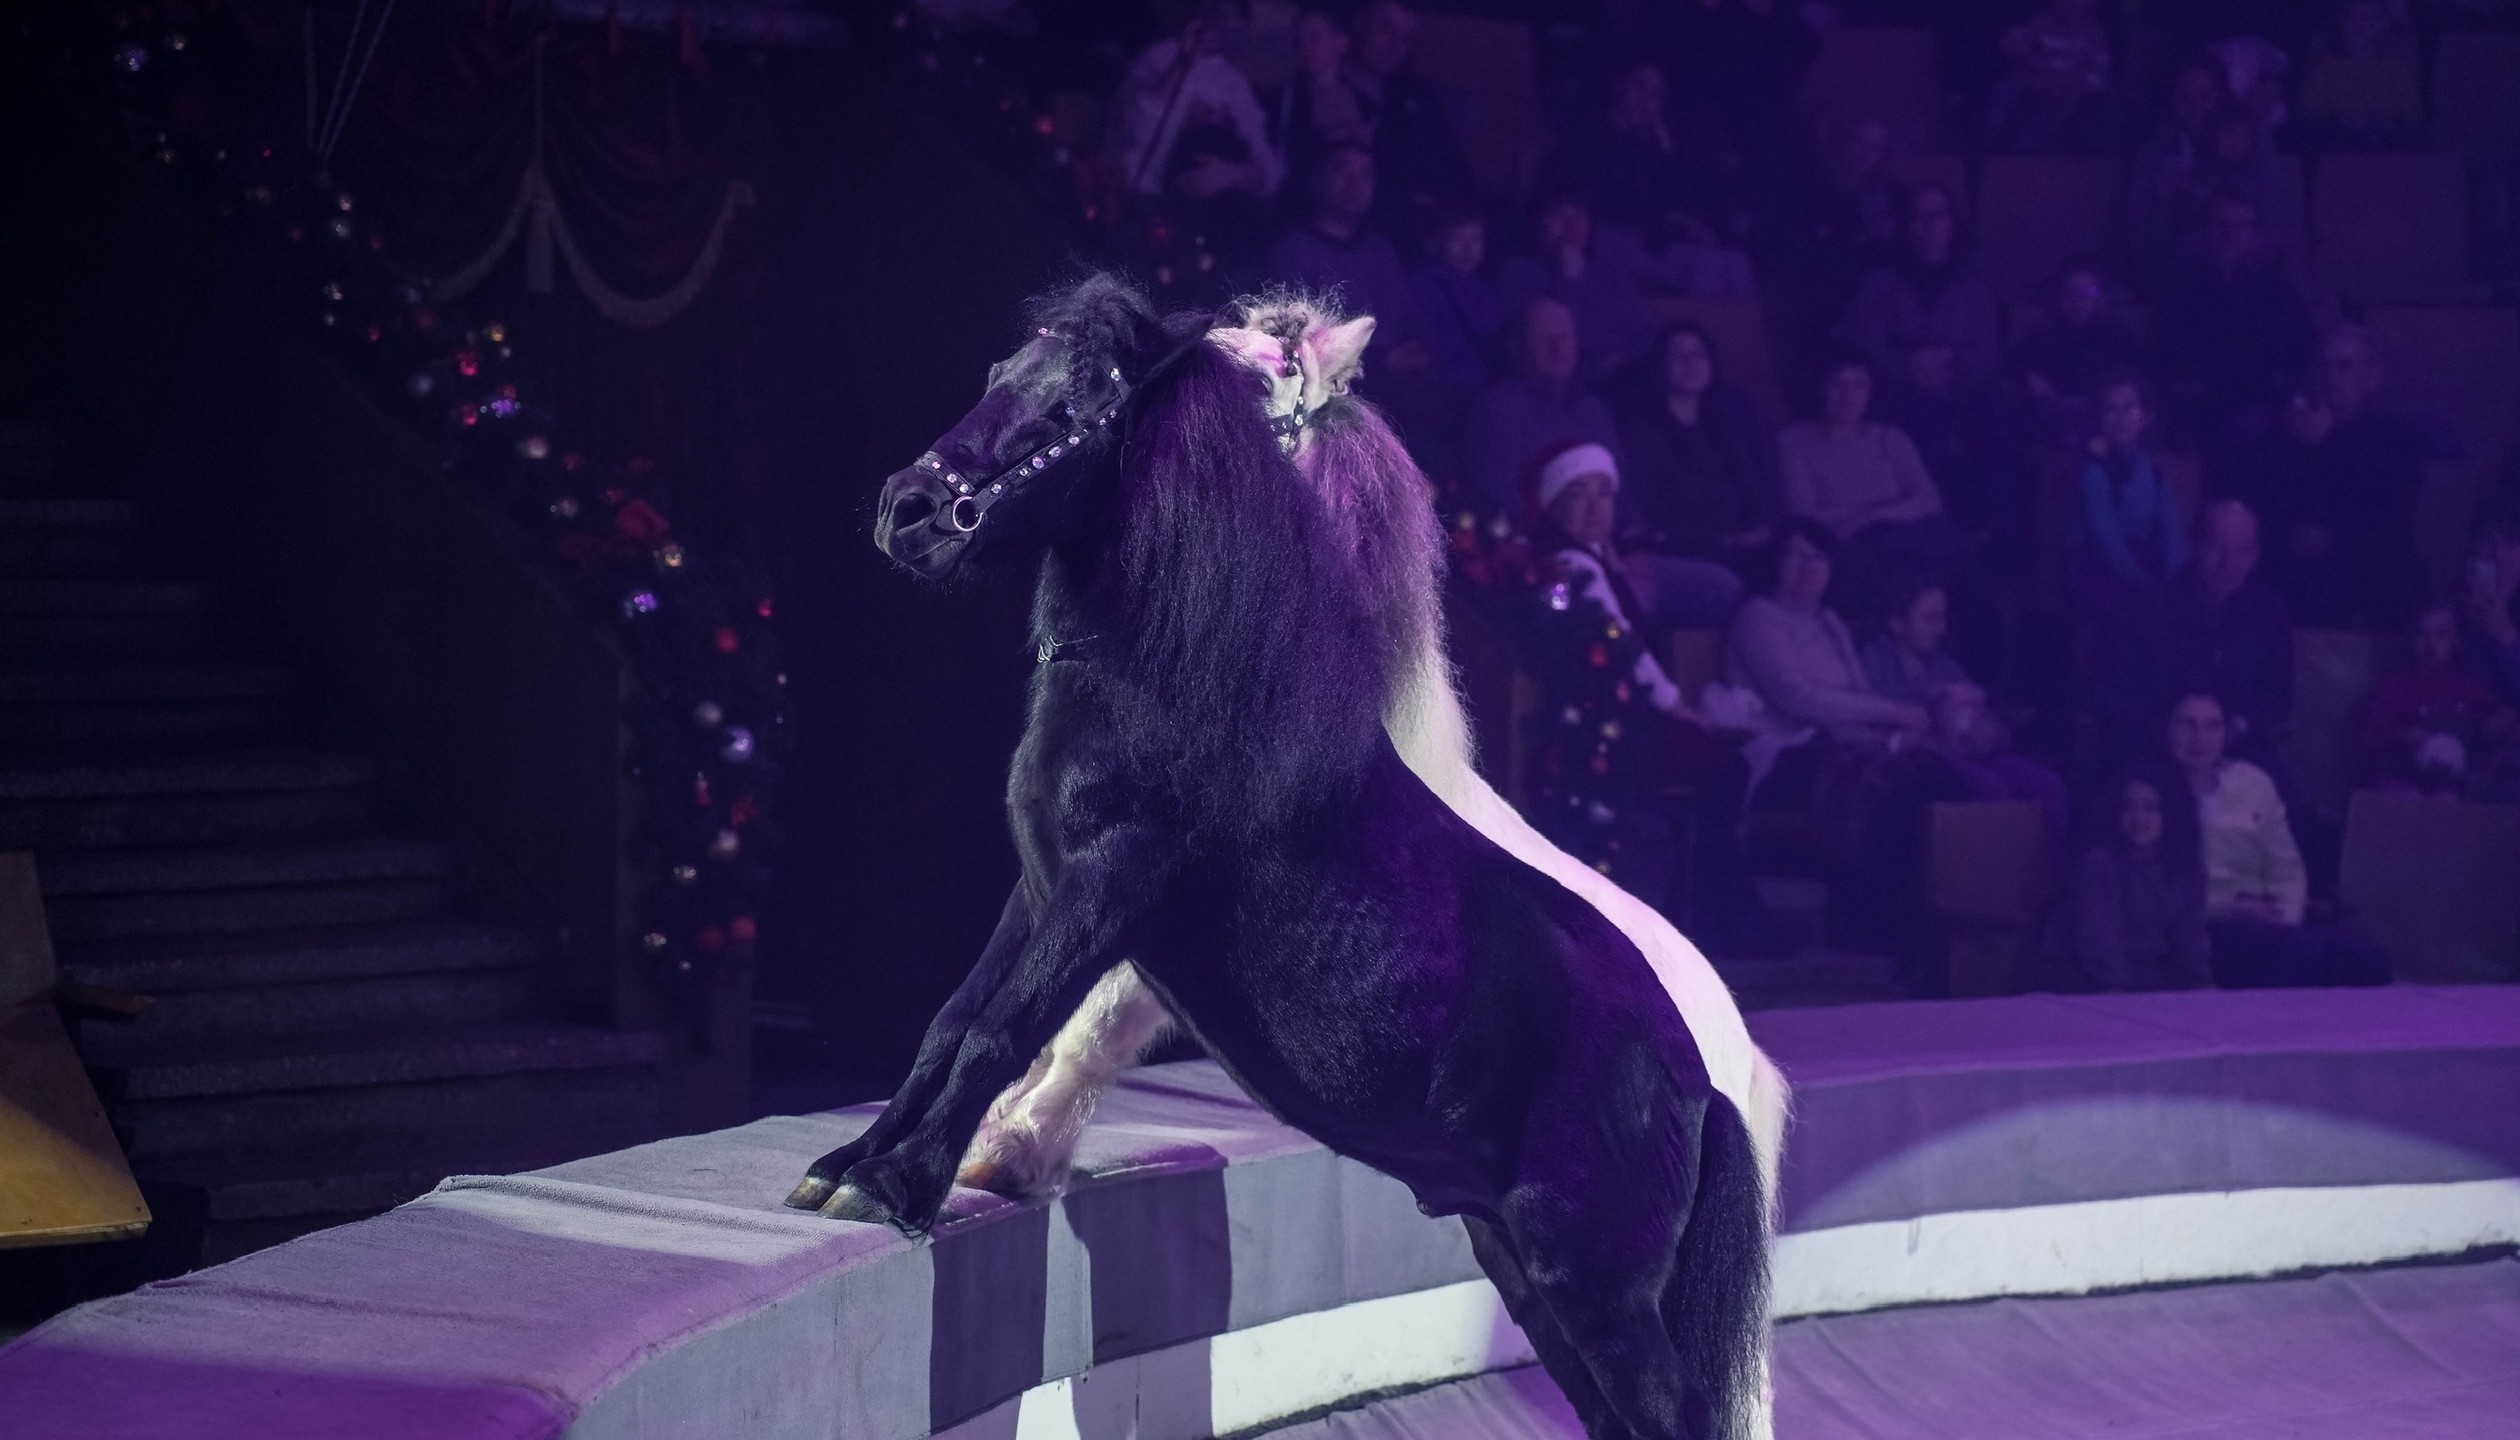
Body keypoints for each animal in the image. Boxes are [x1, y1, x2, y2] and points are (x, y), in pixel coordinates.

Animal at [785, 275, 1784, 1440]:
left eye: (1085, 400)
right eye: (1001, 374)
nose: (908, 510)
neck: (1187, 676)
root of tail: (1707, 1079)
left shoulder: (1112, 886)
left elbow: (1006, 1029)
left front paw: (907, 1181)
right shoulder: (1041, 889)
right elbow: (957, 1020)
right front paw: (856, 1168)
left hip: (1598, 1292)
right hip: (1529, 1276)